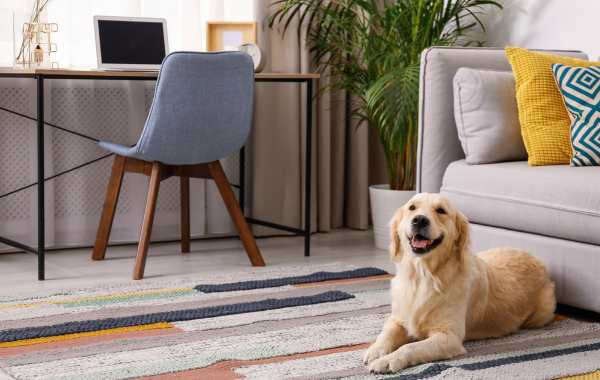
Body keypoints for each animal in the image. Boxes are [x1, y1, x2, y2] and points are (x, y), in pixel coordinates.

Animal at [364, 194, 556, 372]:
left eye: (441, 210)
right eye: (412, 207)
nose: (419, 220)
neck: (422, 276)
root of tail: (538, 261)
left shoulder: (449, 337)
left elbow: (409, 347)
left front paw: (387, 361)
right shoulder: (397, 318)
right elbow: (385, 335)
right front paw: (375, 351)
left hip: (541, 314)